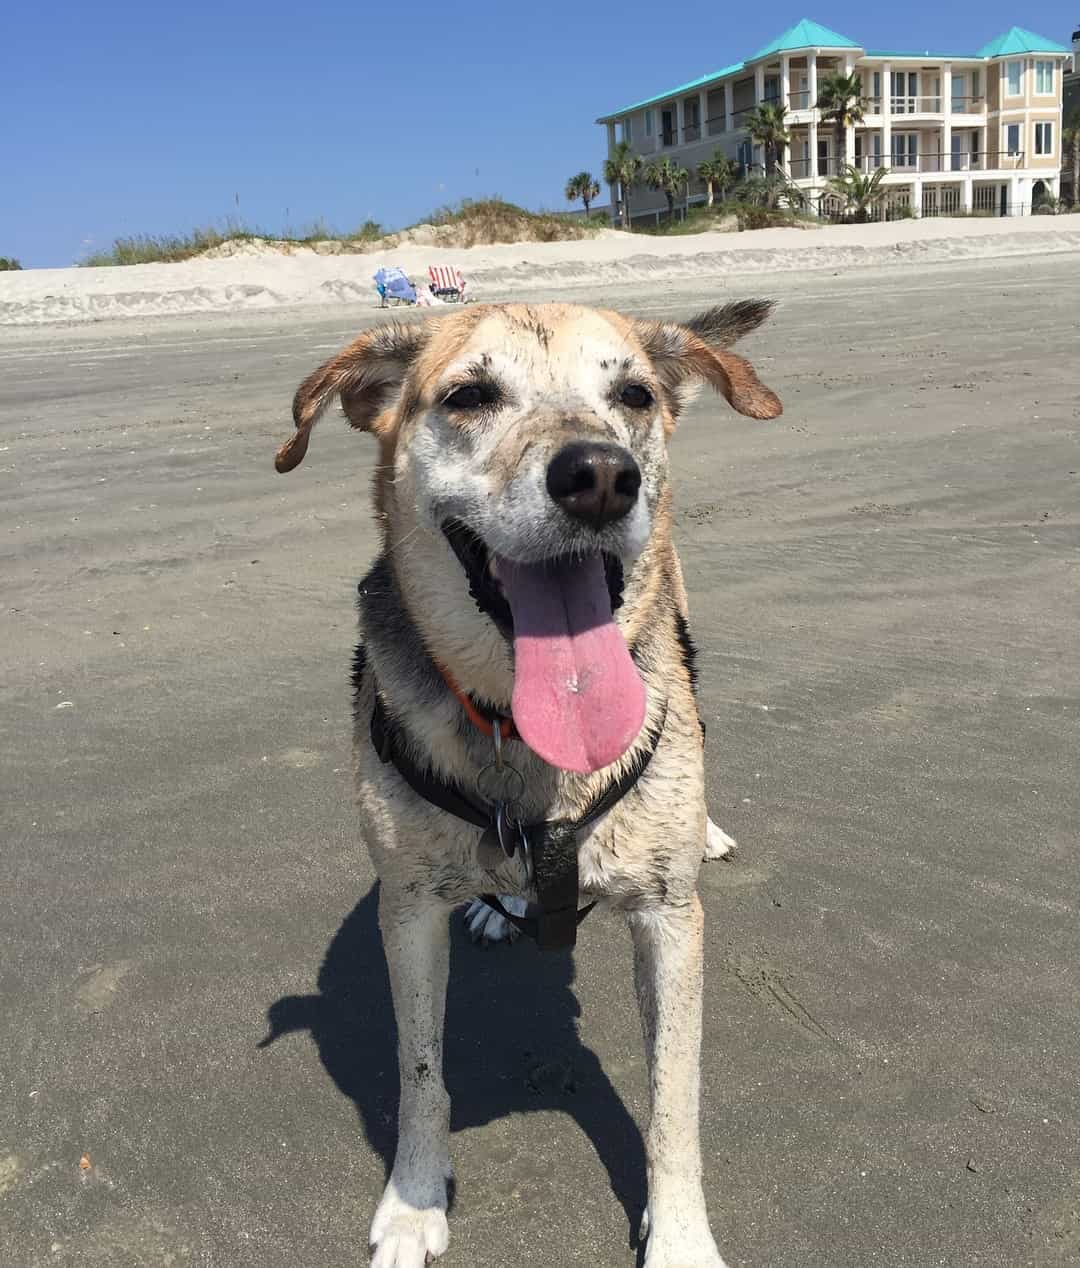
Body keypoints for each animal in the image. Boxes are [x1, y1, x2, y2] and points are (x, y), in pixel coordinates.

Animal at [273, 299, 780, 1268]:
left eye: (632, 395)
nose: (600, 477)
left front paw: (680, 1235)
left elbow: (673, 1098)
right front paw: (413, 1203)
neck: (520, 732)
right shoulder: (407, 911)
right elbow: (420, 1071)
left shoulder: (671, 925)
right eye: (468, 396)